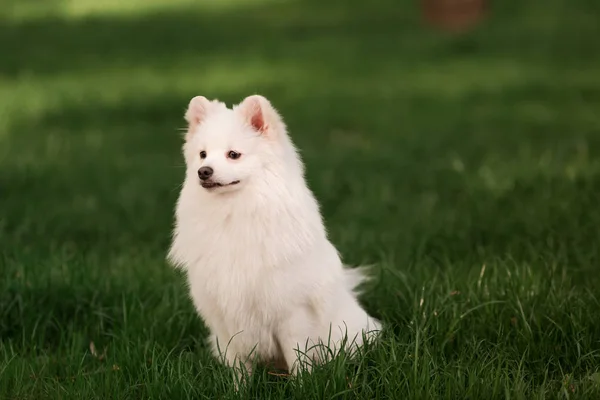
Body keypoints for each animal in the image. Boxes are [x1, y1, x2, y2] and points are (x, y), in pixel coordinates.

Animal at [168, 94, 380, 382]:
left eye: (233, 155)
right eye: (202, 154)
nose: (204, 171)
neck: (233, 215)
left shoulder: (292, 315)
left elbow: (298, 358)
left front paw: (302, 386)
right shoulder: (226, 321)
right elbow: (239, 368)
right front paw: (238, 389)